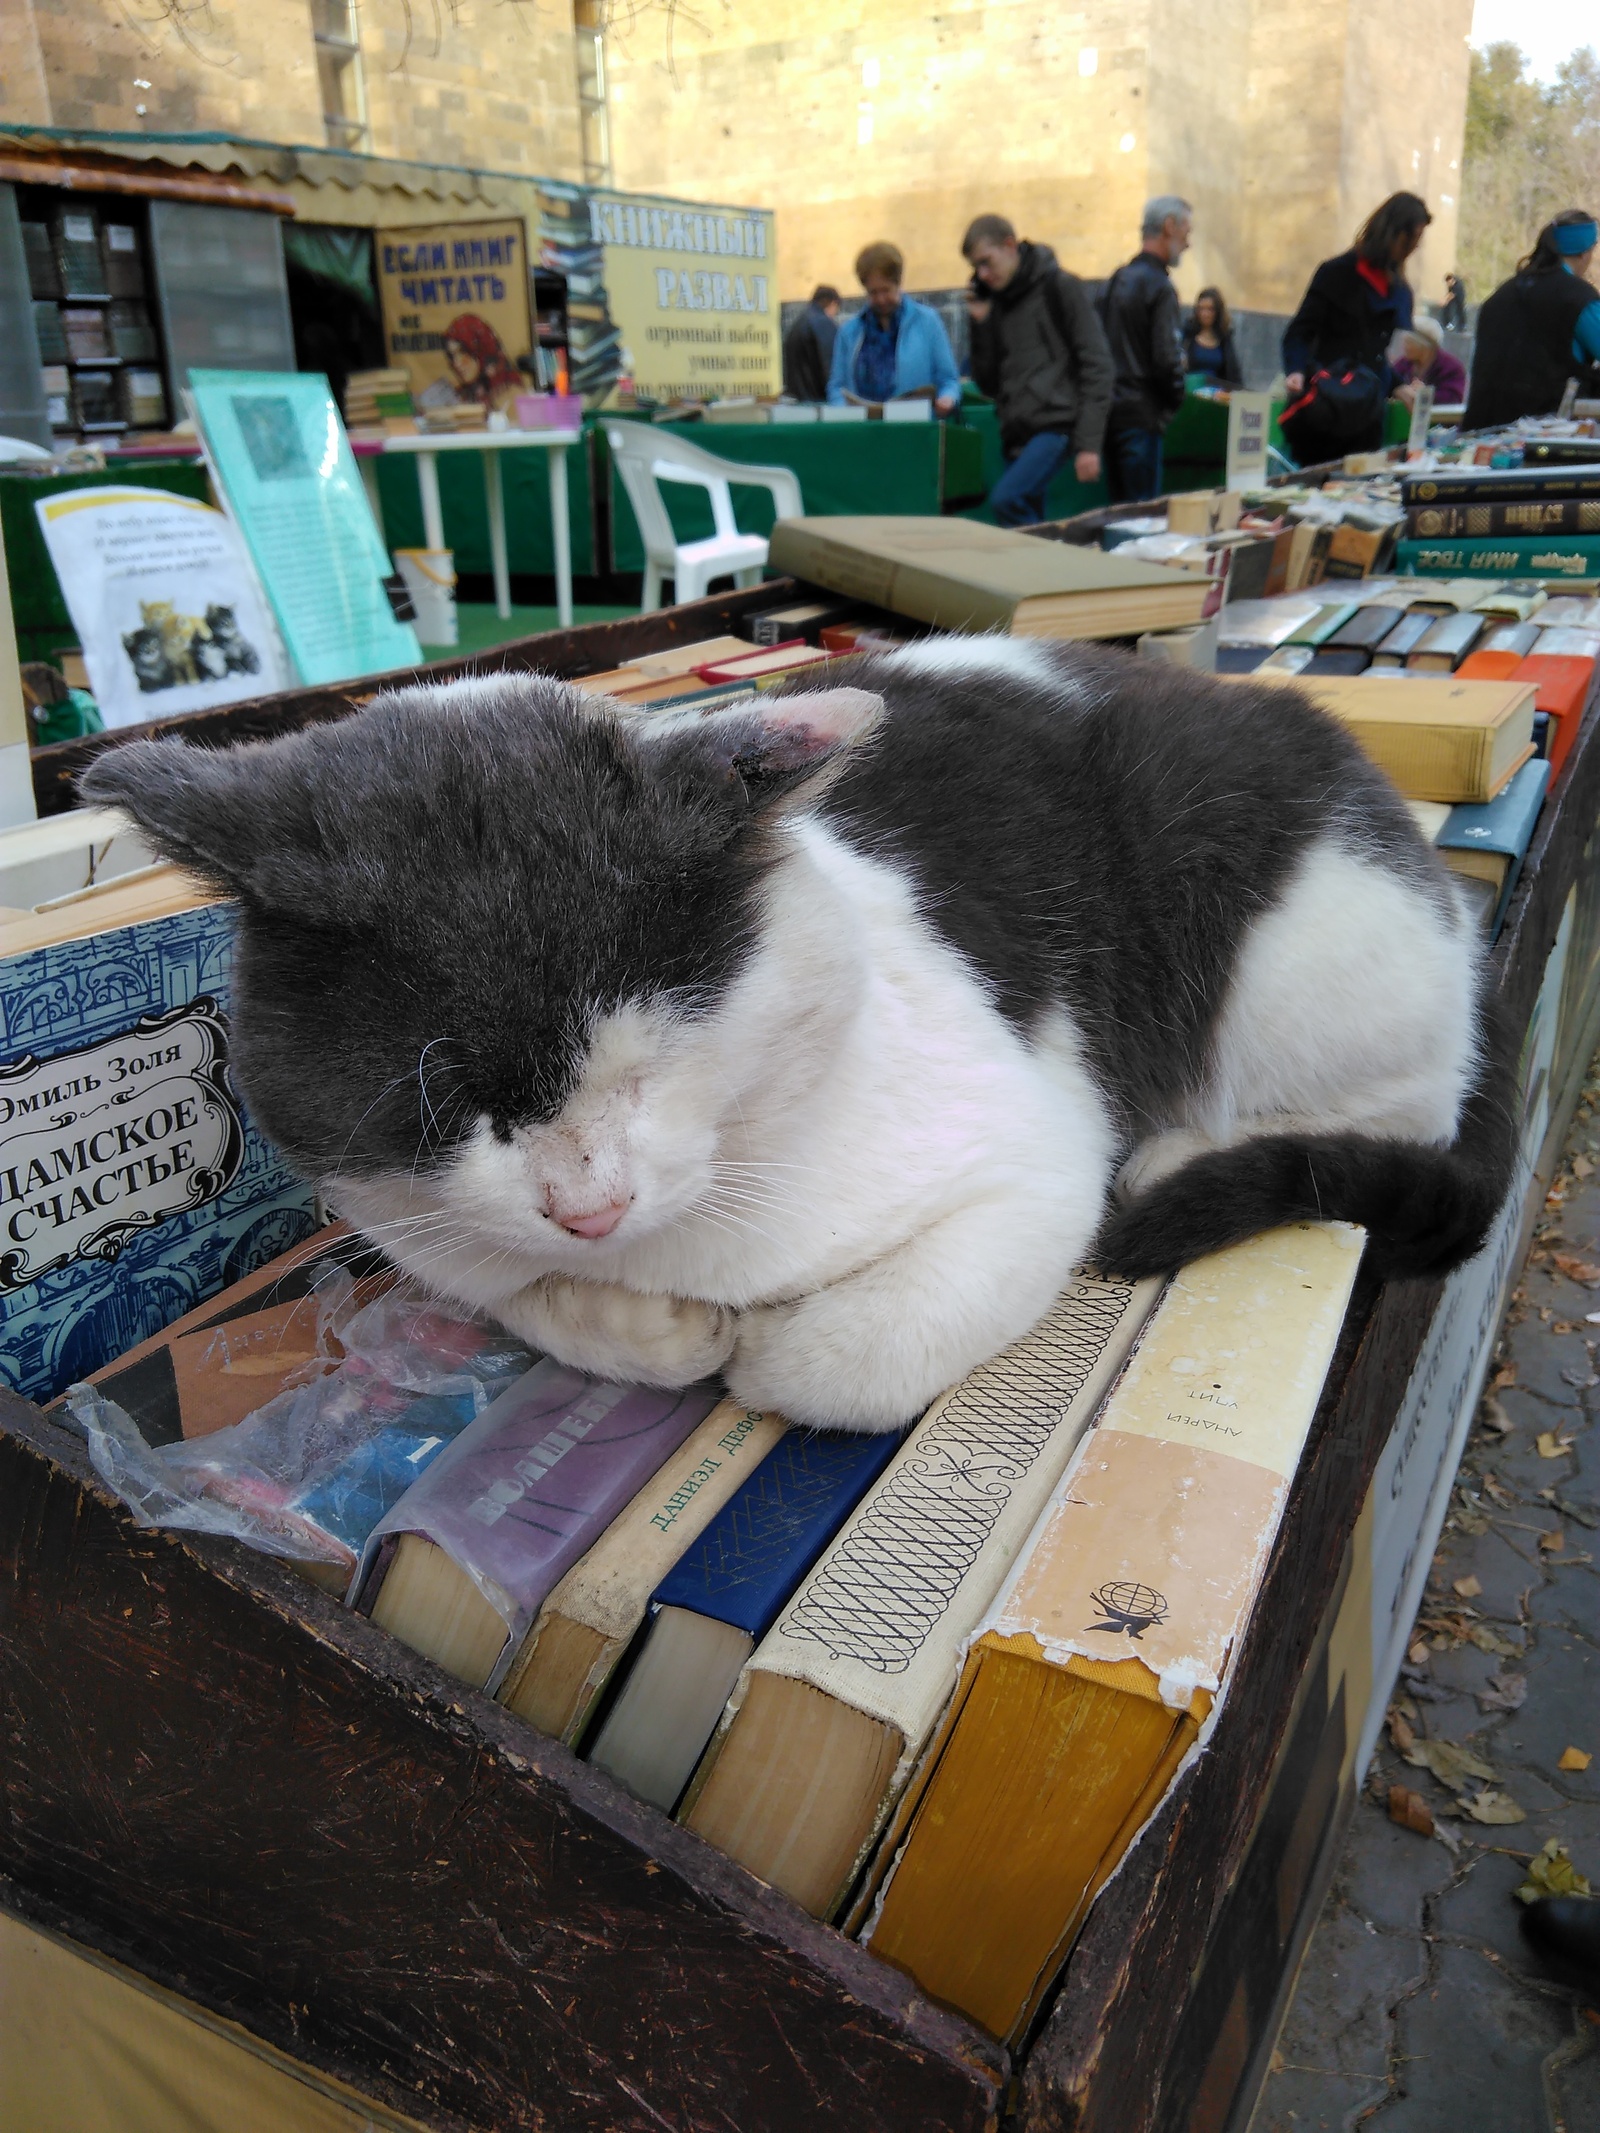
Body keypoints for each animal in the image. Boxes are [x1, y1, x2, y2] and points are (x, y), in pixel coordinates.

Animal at [87, 631, 1518, 1433]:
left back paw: (1184, 1152)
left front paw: (761, 1354)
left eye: (655, 1058)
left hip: (1300, 955)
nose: (590, 1210)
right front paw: (644, 1330)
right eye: (440, 1110)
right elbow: (518, 1293)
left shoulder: (1031, 1162)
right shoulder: (412, 1228)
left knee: (1402, 1100)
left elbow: (846, 1356)